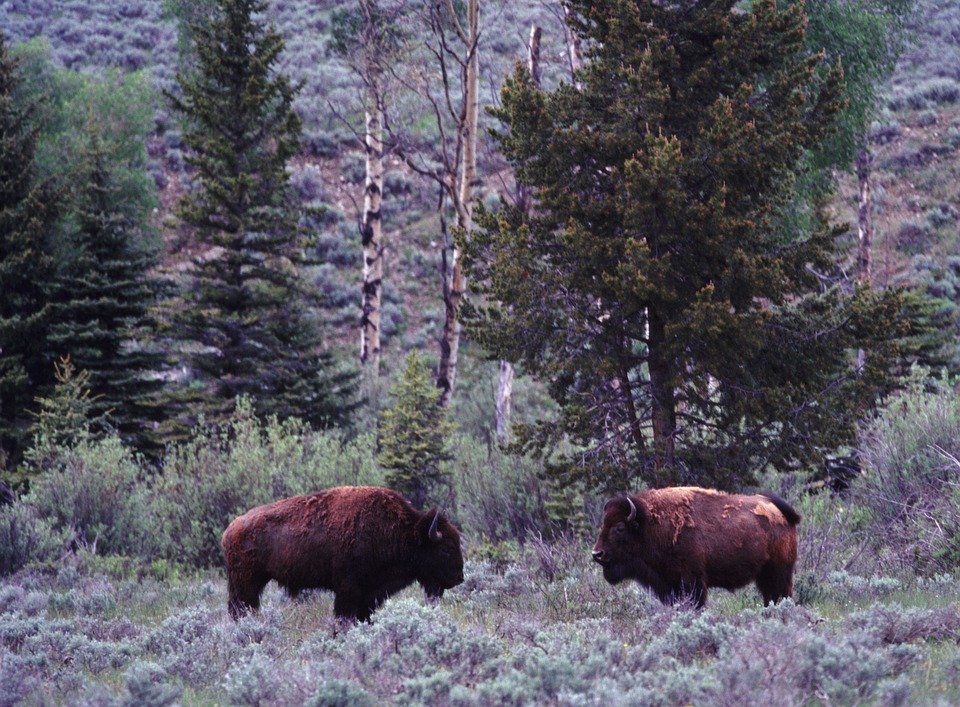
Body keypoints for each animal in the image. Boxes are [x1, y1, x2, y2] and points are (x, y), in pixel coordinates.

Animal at [221, 486, 464, 621]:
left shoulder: (369, 594)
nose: (459, 578)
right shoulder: (348, 589)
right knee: (243, 608)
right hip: (247, 584)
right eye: (446, 549)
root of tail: (230, 530)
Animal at [592, 486, 800, 608]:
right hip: (764, 575)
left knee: (780, 595)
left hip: (779, 572)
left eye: (619, 528)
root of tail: (780, 511)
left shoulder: (693, 582)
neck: (650, 525)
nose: (597, 553)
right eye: (603, 524)